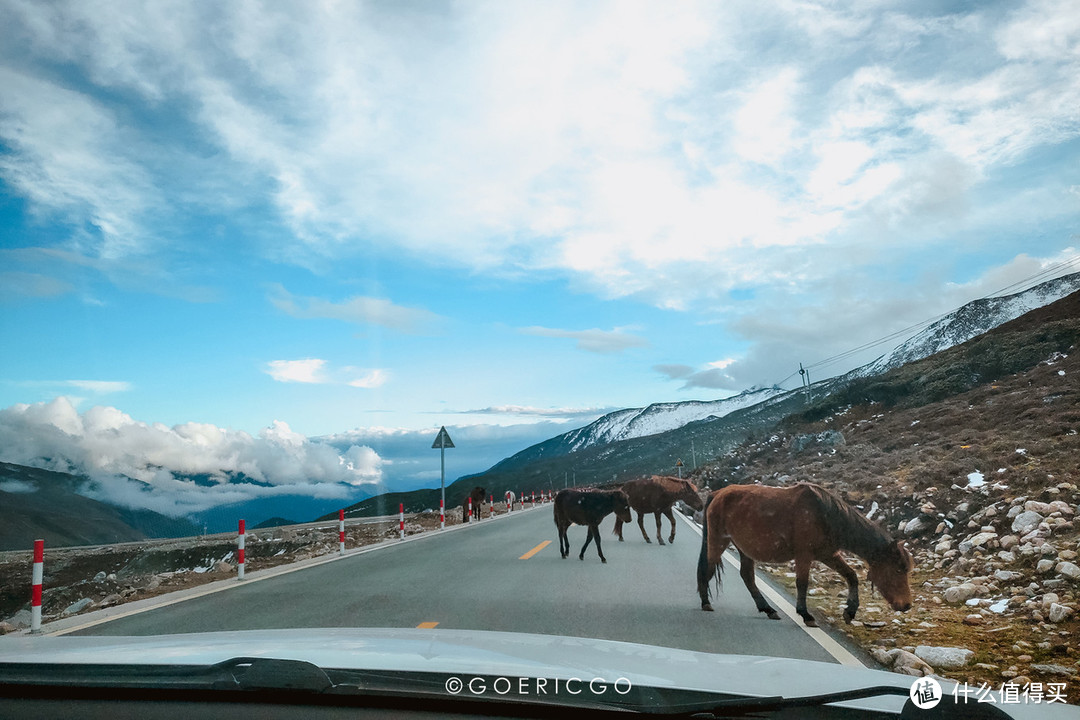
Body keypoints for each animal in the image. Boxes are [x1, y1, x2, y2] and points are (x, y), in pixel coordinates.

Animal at [699, 483, 911, 626]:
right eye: (898, 570)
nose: (907, 605)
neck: (824, 515)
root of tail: (717, 493)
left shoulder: (828, 555)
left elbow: (851, 576)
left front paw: (850, 611)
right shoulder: (804, 555)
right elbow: (802, 583)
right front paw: (805, 614)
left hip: (744, 549)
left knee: (747, 577)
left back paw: (768, 609)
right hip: (719, 541)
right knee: (708, 568)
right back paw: (705, 602)